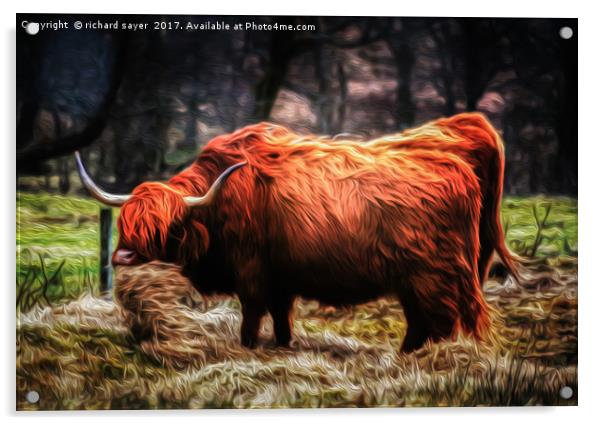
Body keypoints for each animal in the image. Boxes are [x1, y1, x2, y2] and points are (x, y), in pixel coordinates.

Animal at [76, 112, 516, 352]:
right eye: (126, 222)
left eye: (162, 227)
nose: (123, 256)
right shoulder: (280, 277)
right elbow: (282, 318)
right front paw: (283, 346)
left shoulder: (251, 272)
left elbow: (252, 315)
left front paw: (248, 348)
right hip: (419, 279)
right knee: (424, 322)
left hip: (436, 275)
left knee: (444, 320)